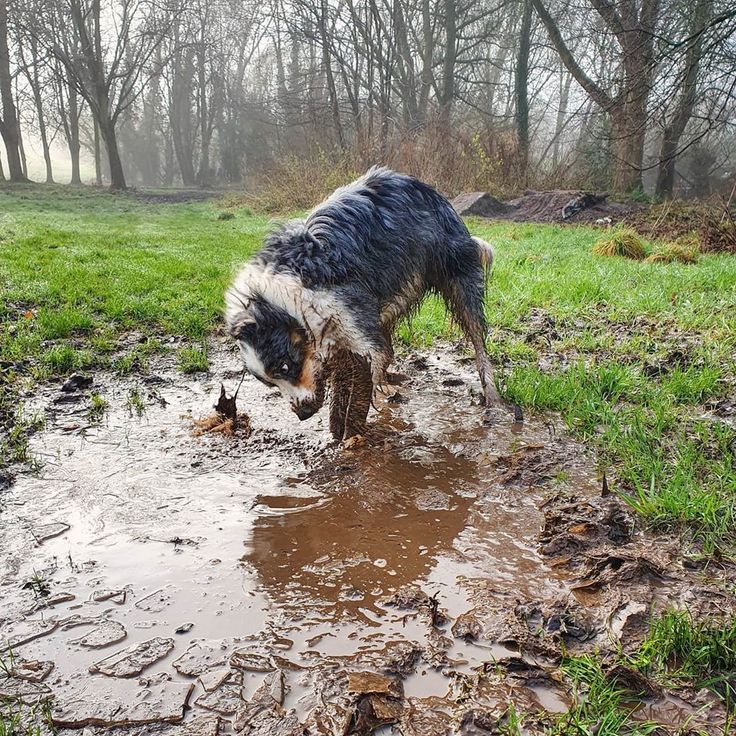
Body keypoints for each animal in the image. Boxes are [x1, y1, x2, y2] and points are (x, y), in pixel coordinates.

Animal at [227, 167, 504, 440]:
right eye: (269, 382)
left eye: (285, 366)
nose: (303, 415)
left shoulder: (352, 317)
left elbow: (369, 368)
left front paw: (352, 432)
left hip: (457, 275)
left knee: (477, 339)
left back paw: (492, 398)